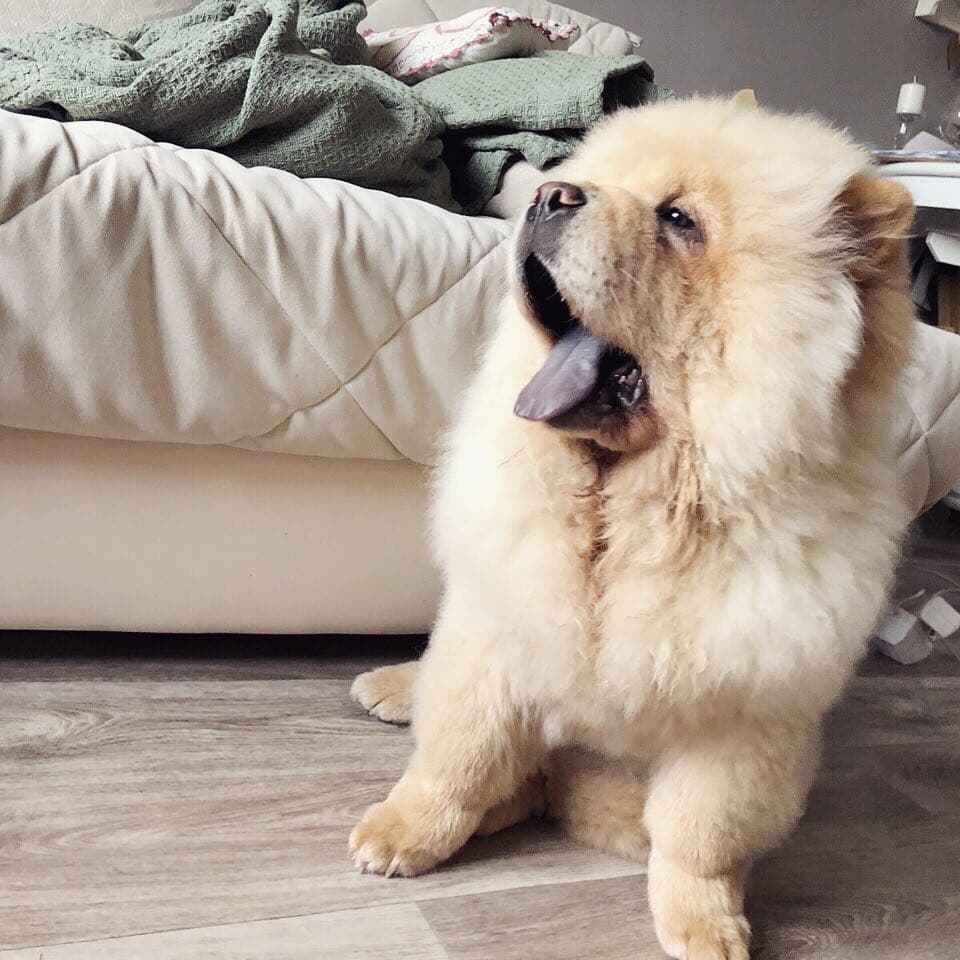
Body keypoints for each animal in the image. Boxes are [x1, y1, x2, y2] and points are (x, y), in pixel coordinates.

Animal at [346, 99, 916, 960]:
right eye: (597, 180)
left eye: (679, 219)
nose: (547, 196)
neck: (623, 512)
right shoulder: (496, 631)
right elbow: (457, 757)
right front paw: (404, 832)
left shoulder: (741, 718)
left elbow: (697, 838)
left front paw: (704, 925)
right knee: (451, 704)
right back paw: (392, 689)